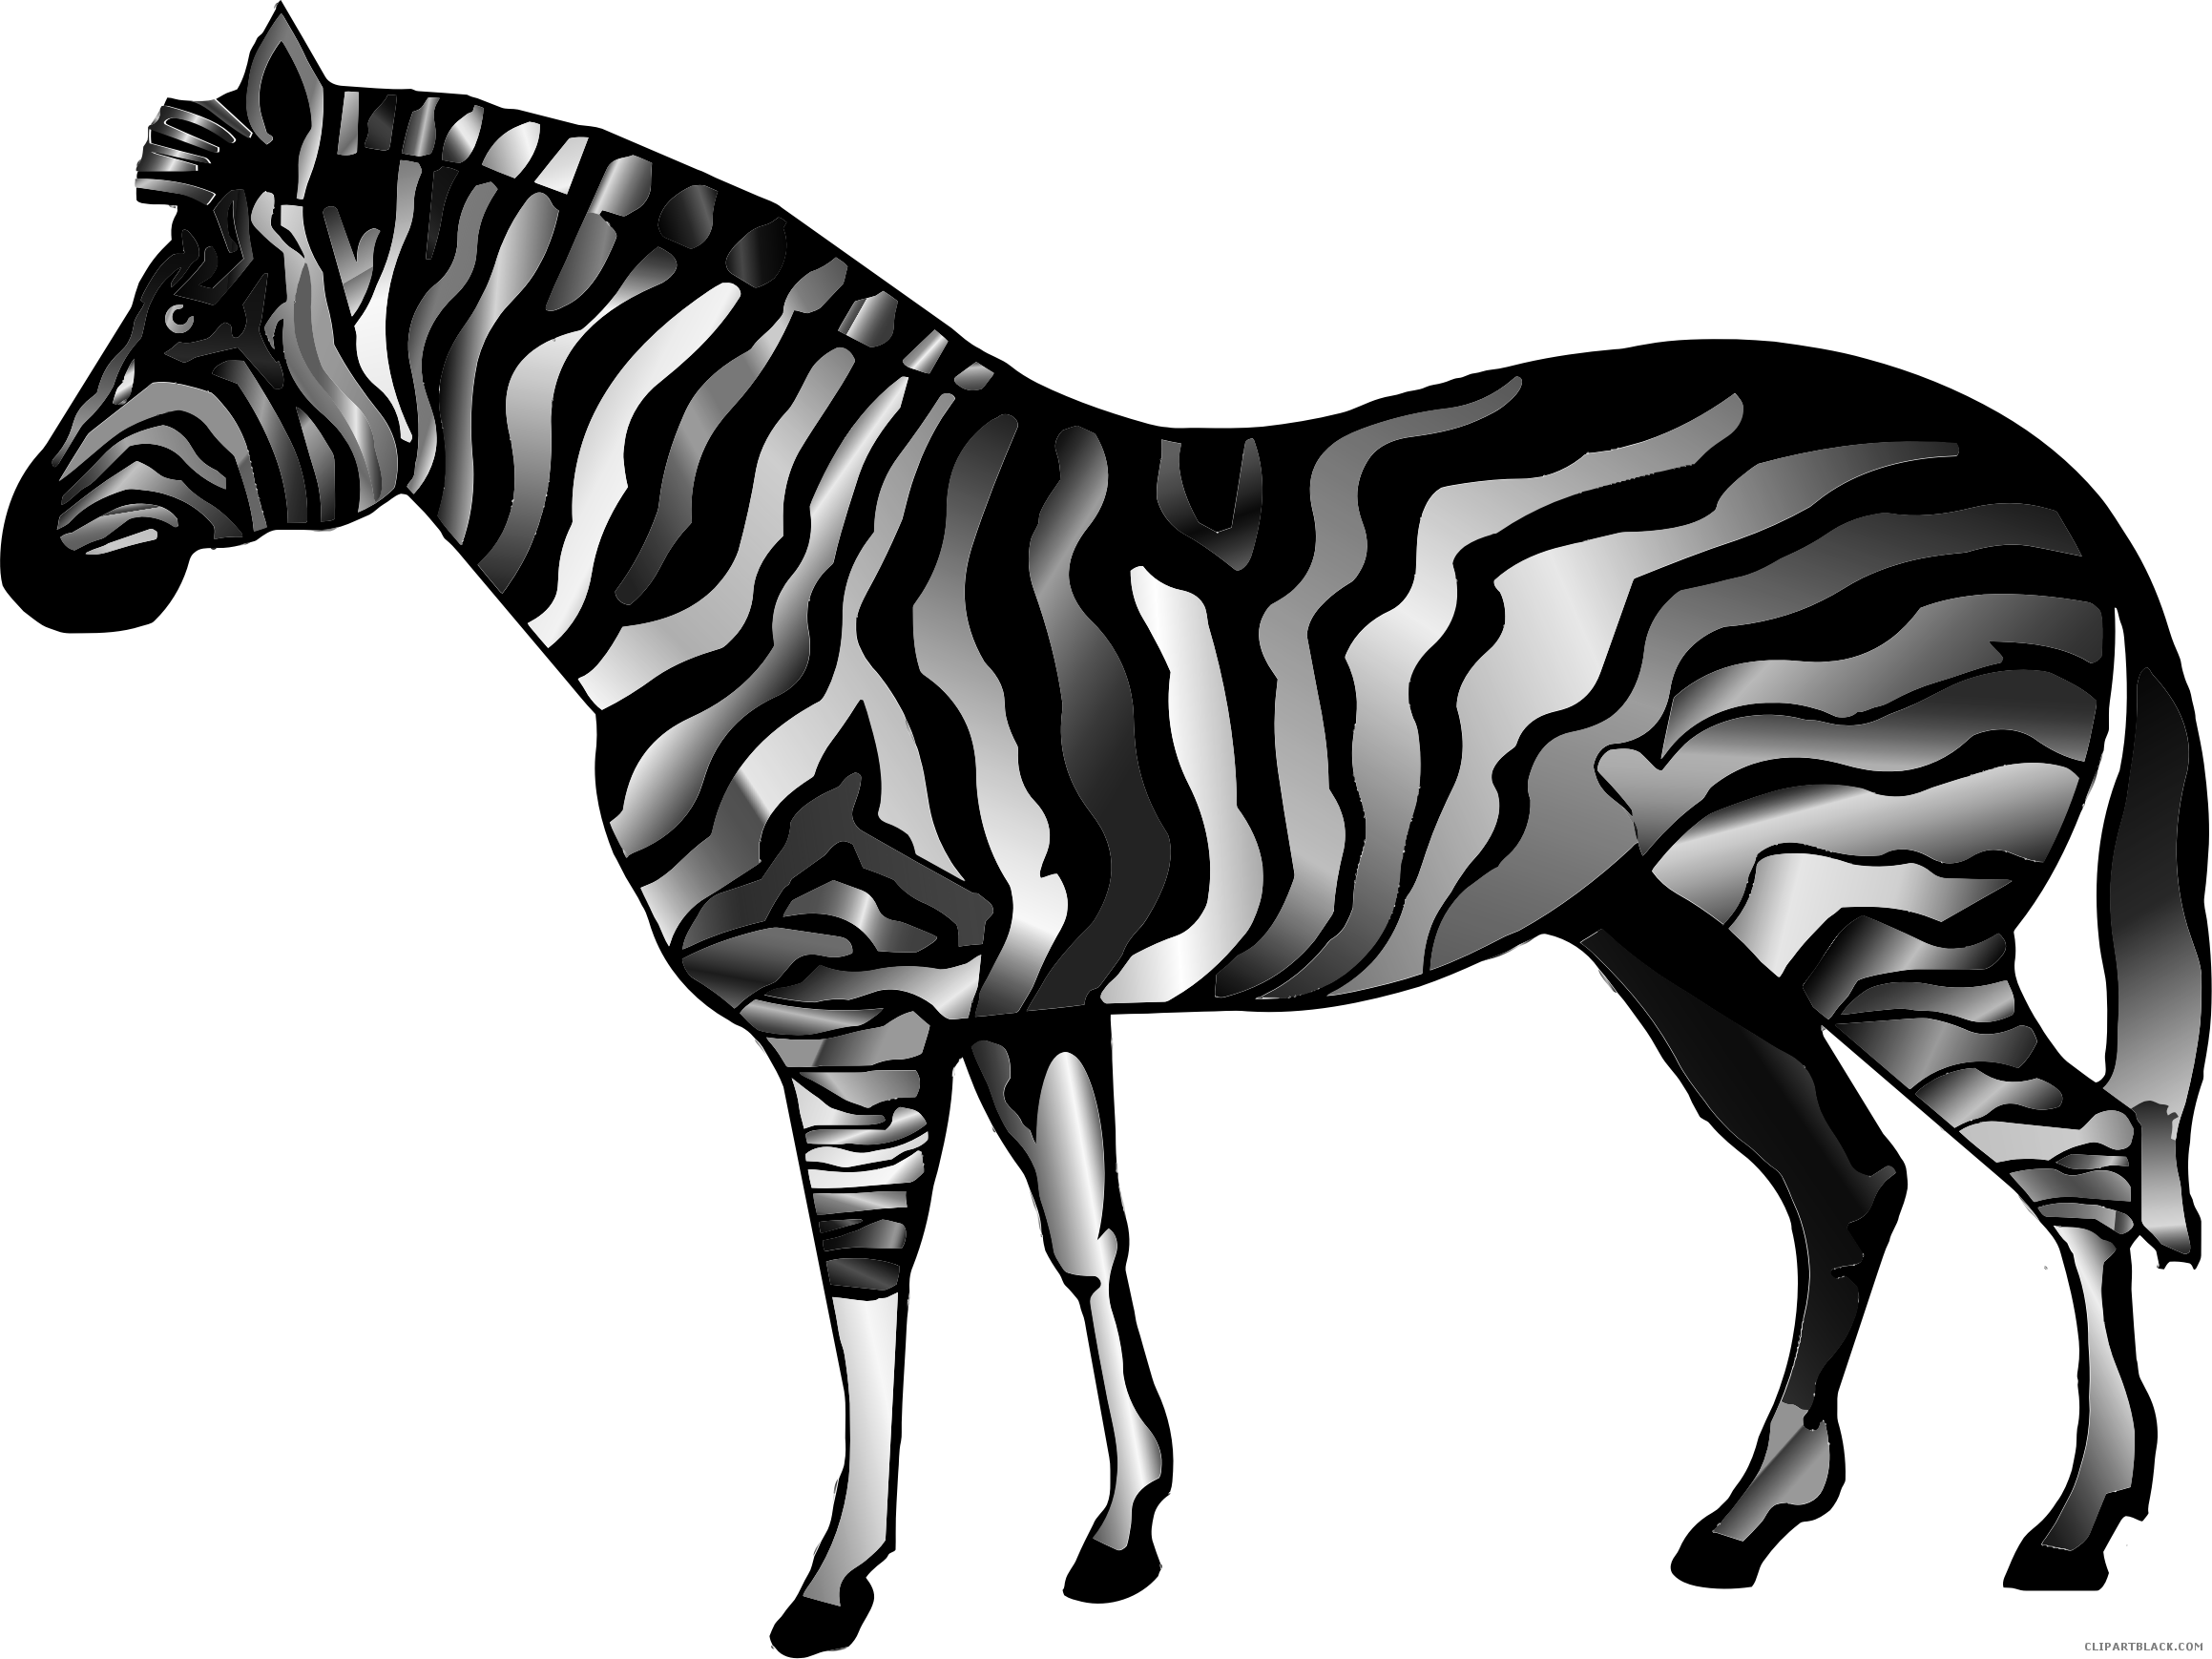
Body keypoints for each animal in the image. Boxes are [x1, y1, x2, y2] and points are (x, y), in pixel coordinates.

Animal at [50, 11, 2196, 1622]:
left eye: (185, 332)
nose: (47, 523)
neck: (745, 570)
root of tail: (2052, 509)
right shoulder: (1020, 993)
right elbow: (1082, 1231)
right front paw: (1125, 1509)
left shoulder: (845, 984)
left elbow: (862, 1265)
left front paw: (841, 1559)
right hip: (1678, 929)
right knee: (1850, 1182)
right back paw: (1758, 1507)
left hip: (1876, 878)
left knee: (2078, 1157)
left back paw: (2081, 1514)